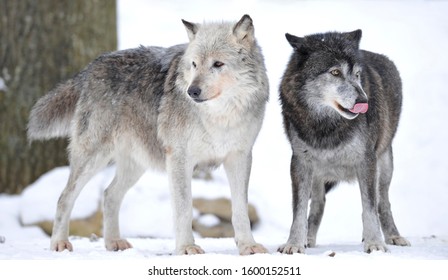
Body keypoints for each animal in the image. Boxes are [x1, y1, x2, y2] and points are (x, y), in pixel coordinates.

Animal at [28, 15, 270, 256]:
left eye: (218, 64)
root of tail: (90, 67)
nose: (192, 91)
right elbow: (184, 208)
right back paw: (59, 243)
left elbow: (240, 209)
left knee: (109, 195)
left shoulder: (239, 158)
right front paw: (186, 247)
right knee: (64, 197)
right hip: (93, 158)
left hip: (136, 165)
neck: (220, 118)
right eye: (194, 64)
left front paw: (248, 245)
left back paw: (113, 242)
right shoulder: (179, 159)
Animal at [278, 29, 412, 253]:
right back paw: (309, 239)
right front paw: (294, 244)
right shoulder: (299, 163)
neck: (327, 125)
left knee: (382, 203)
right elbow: (299, 211)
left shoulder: (366, 161)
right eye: (335, 72)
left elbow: (369, 207)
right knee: (318, 204)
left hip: (384, 166)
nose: (364, 101)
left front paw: (375, 243)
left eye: (357, 75)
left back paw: (393, 236)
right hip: (318, 174)